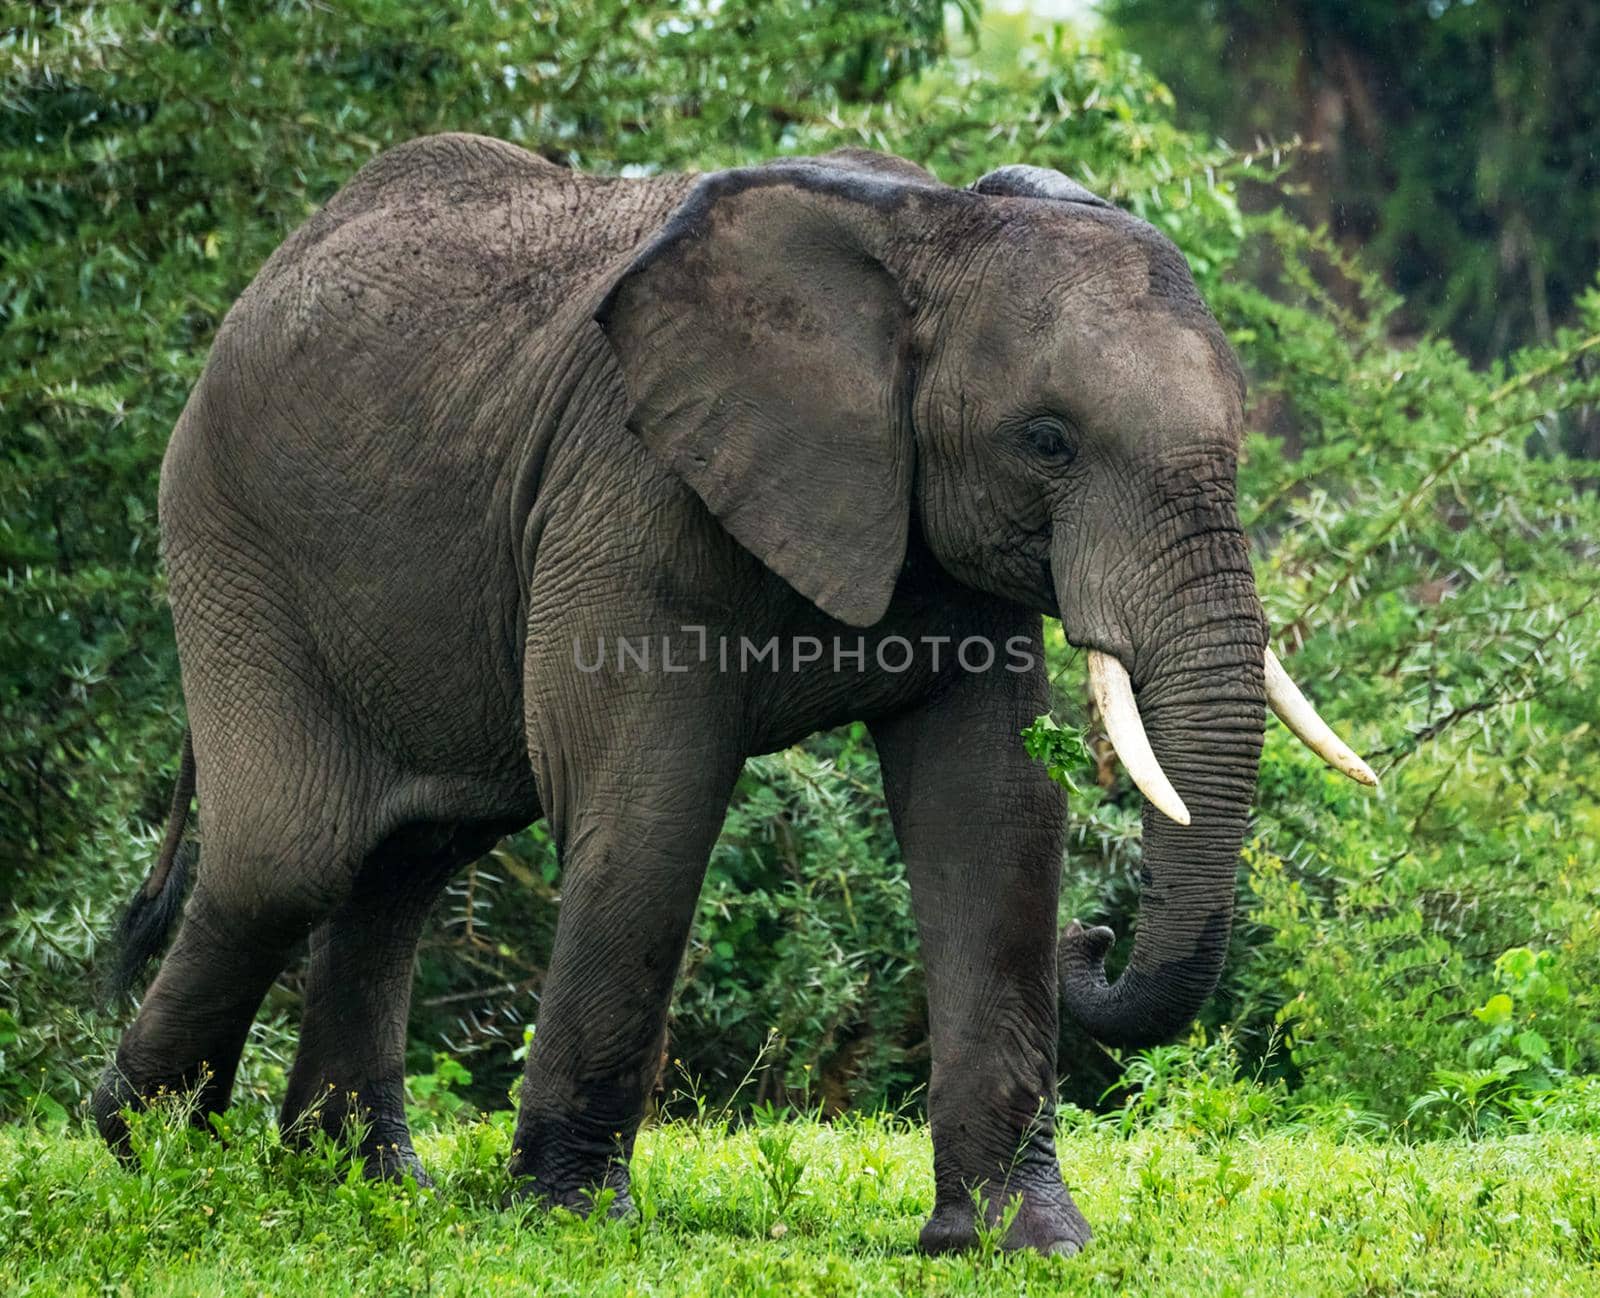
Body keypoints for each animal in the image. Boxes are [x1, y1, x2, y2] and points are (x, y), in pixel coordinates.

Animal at [96, 134, 1376, 1261]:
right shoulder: (630, 486)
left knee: (406, 855)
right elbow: (649, 807)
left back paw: (358, 1181)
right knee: (291, 858)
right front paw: (574, 1219)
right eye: (1048, 441)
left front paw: (1020, 1241)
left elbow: (993, 817)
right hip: (230, 535)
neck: (926, 234)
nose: (1097, 938)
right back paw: (146, 1150)